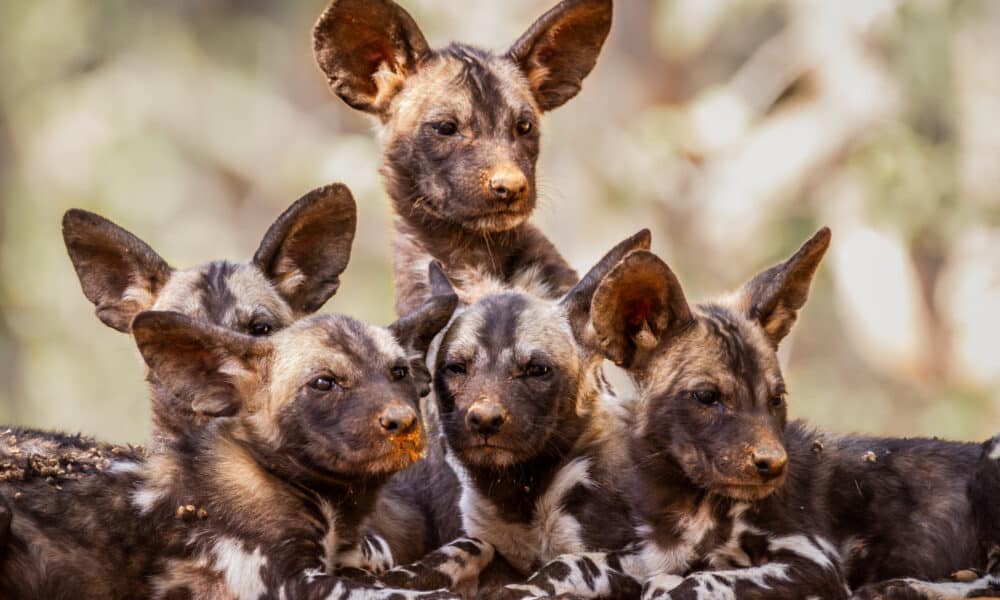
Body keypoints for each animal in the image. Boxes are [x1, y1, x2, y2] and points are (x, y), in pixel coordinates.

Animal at [0, 278, 492, 596]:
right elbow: (424, 586)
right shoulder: (294, 583)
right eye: (324, 383)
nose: (403, 421)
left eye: (399, 373)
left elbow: (449, 550)